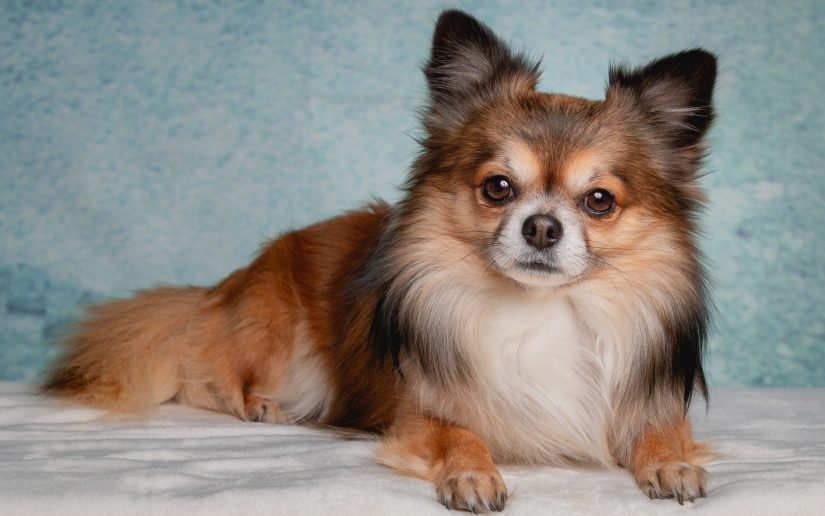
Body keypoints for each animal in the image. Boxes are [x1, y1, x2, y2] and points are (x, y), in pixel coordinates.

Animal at [41, 8, 716, 512]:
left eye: (599, 200)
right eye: (498, 188)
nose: (543, 226)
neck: (539, 309)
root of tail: (221, 288)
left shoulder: (645, 400)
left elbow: (662, 429)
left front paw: (671, 461)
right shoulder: (417, 414)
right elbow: (458, 432)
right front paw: (472, 472)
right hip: (274, 339)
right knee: (204, 370)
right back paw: (262, 405)